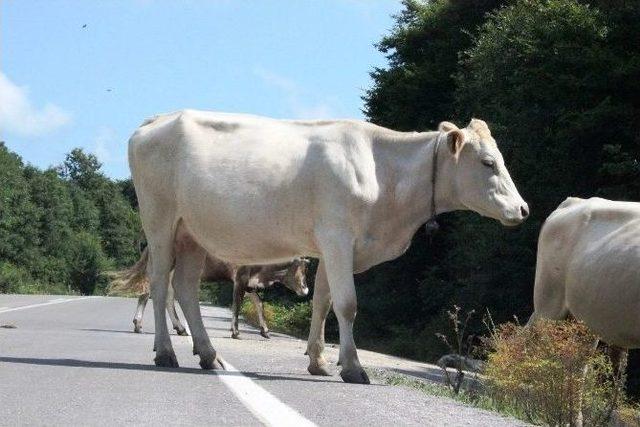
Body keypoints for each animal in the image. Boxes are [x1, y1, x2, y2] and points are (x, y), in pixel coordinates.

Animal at [127, 110, 528, 384]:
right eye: (488, 162)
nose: (523, 209)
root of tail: (156, 119)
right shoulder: (337, 237)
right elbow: (347, 305)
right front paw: (353, 367)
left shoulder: (331, 247)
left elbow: (322, 301)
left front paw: (317, 361)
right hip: (160, 222)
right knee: (159, 286)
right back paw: (166, 352)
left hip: (191, 233)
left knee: (185, 288)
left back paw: (208, 354)